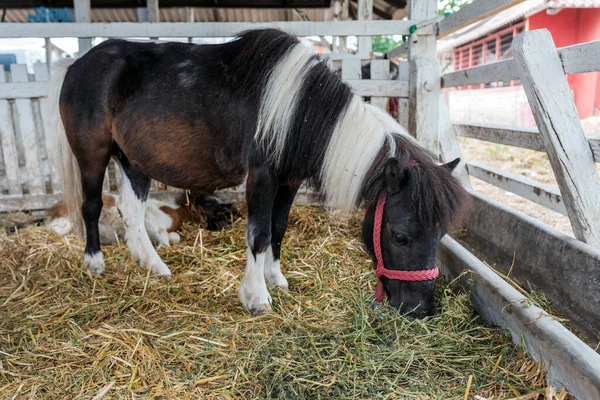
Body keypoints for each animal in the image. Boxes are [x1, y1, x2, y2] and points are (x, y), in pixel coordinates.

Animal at [50, 28, 468, 318]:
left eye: (441, 234)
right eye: (400, 236)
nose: (421, 310)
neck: (300, 111)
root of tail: (76, 66)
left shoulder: (289, 180)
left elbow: (278, 229)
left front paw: (276, 279)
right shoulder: (262, 177)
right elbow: (258, 235)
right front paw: (256, 297)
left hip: (133, 160)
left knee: (132, 213)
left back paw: (153, 265)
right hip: (93, 155)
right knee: (91, 207)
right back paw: (95, 263)